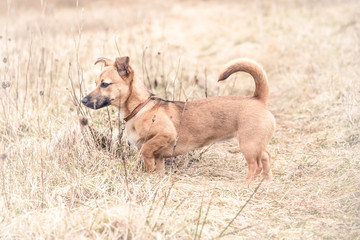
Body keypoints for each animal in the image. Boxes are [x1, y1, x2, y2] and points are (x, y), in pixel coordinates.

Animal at [82, 56, 276, 184]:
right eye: (96, 83)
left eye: (105, 84)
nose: (83, 100)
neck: (140, 108)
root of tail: (258, 98)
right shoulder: (159, 156)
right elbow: (157, 167)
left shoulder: (165, 135)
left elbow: (145, 150)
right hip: (256, 144)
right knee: (266, 157)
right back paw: (265, 182)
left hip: (248, 145)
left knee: (255, 166)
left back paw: (247, 185)